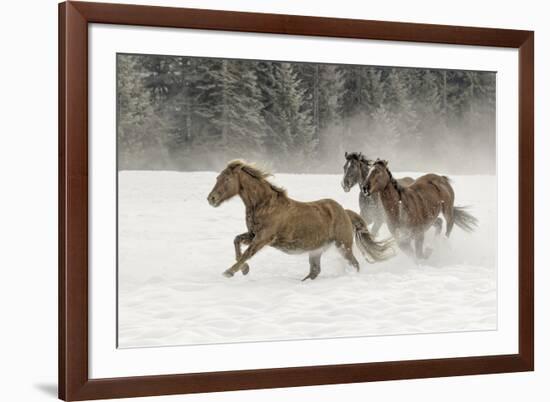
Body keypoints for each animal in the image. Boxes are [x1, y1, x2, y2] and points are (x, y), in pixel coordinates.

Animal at [208, 159, 396, 280]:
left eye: (226, 179)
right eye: (217, 178)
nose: (211, 199)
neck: (264, 204)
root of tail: (344, 212)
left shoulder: (263, 238)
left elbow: (247, 253)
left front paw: (229, 272)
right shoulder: (253, 234)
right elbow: (236, 241)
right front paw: (244, 270)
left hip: (343, 246)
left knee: (354, 264)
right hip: (316, 251)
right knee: (315, 271)